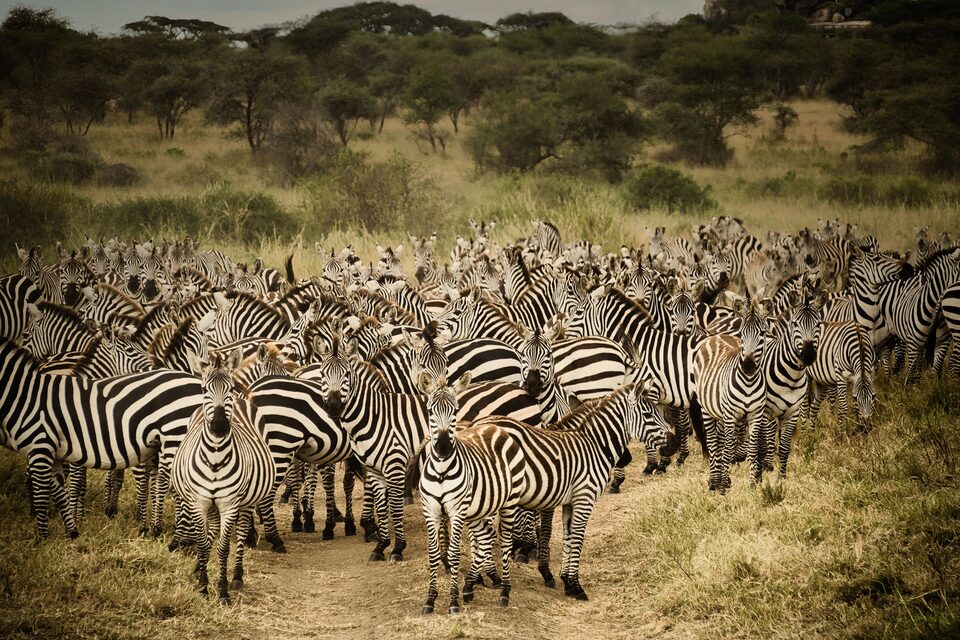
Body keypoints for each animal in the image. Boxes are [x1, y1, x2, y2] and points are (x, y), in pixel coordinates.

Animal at [172, 349, 276, 604]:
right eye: (203, 389)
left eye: (229, 388)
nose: (219, 426)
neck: (215, 456)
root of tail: (241, 400)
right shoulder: (199, 502)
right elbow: (202, 543)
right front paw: (202, 586)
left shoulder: (230, 504)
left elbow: (223, 547)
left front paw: (222, 591)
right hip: (210, 504)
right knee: (211, 533)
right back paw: (199, 568)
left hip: (247, 500)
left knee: (241, 532)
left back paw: (237, 576)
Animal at [412, 373, 525, 614]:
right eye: (430, 411)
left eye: (455, 411)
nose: (443, 448)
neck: (441, 471)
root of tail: (495, 426)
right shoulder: (431, 511)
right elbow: (433, 554)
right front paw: (430, 599)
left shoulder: (456, 512)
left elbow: (453, 554)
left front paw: (453, 602)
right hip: (478, 509)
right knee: (485, 536)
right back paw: (470, 587)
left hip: (508, 503)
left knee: (505, 541)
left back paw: (504, 592)